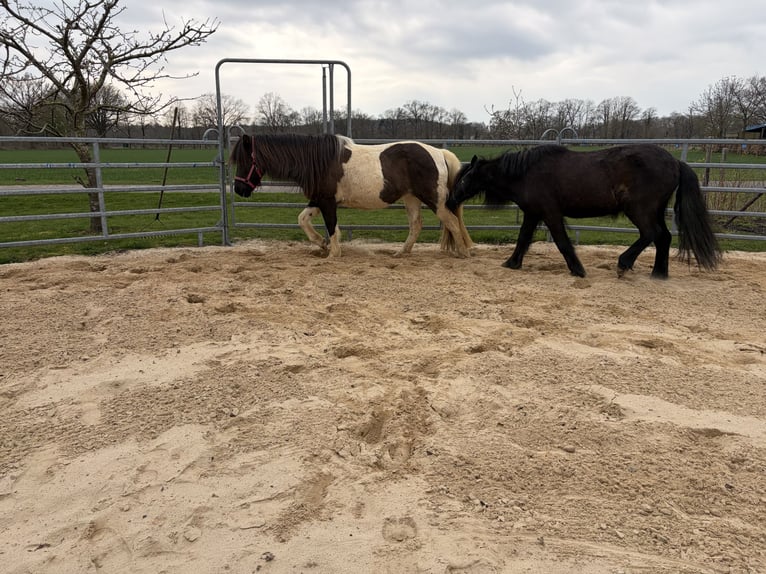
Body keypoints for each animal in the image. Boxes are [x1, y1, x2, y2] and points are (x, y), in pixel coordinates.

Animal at [229, 133, 473, 258]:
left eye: (245, 160)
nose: (239, 189)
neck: (319, 161)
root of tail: (439, 152)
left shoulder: (327, 202)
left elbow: (331, 226)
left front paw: (333, 253)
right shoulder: (318, 200)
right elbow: (302, 219)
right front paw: (321, 244)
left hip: (434, 200)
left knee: (452, 221)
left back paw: (463, 253)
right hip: (411, 198)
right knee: (416, 225)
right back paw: (401, 253)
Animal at [446, 144, 721, 279]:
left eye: (463, 178)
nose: (450, 200)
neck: (526, 173)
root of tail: (675, 161)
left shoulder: (550, 213)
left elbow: (562, 242)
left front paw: (578, 270)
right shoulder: (533, 214)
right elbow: (523, 239)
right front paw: (512, 263)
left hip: (639, 210)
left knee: (650, 234)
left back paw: (624, 264)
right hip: (655, 210)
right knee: (663, 237)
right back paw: (658, 274)